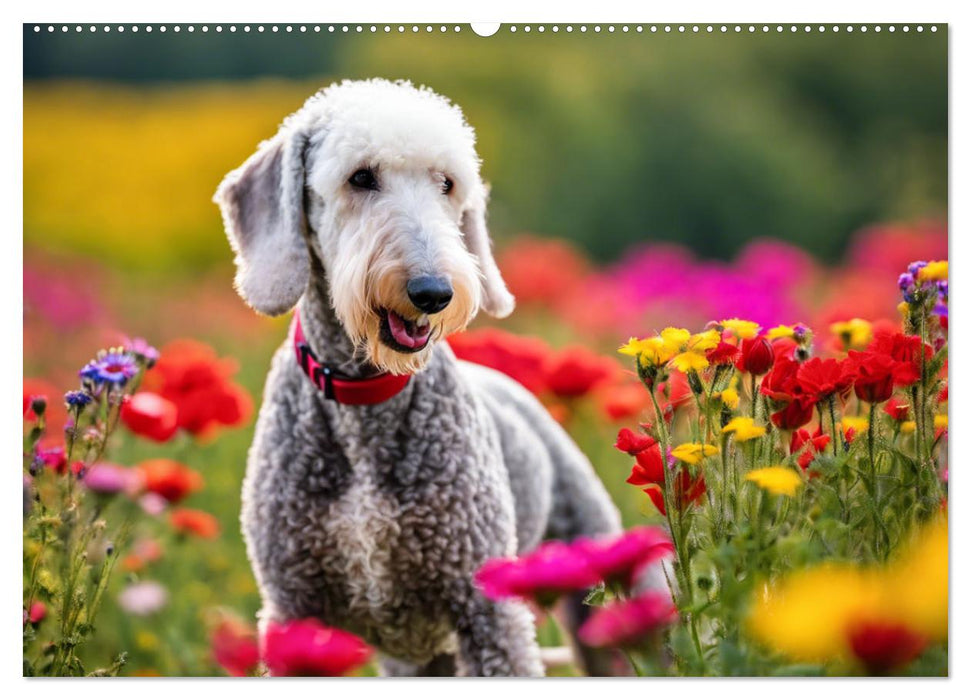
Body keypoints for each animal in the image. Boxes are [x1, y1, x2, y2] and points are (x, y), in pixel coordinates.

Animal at [215, 79, 624, 676]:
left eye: (447, 184)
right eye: (361, 177)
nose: (433, 292)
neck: (367, 397)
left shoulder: (488, 613)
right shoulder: (294, 607)